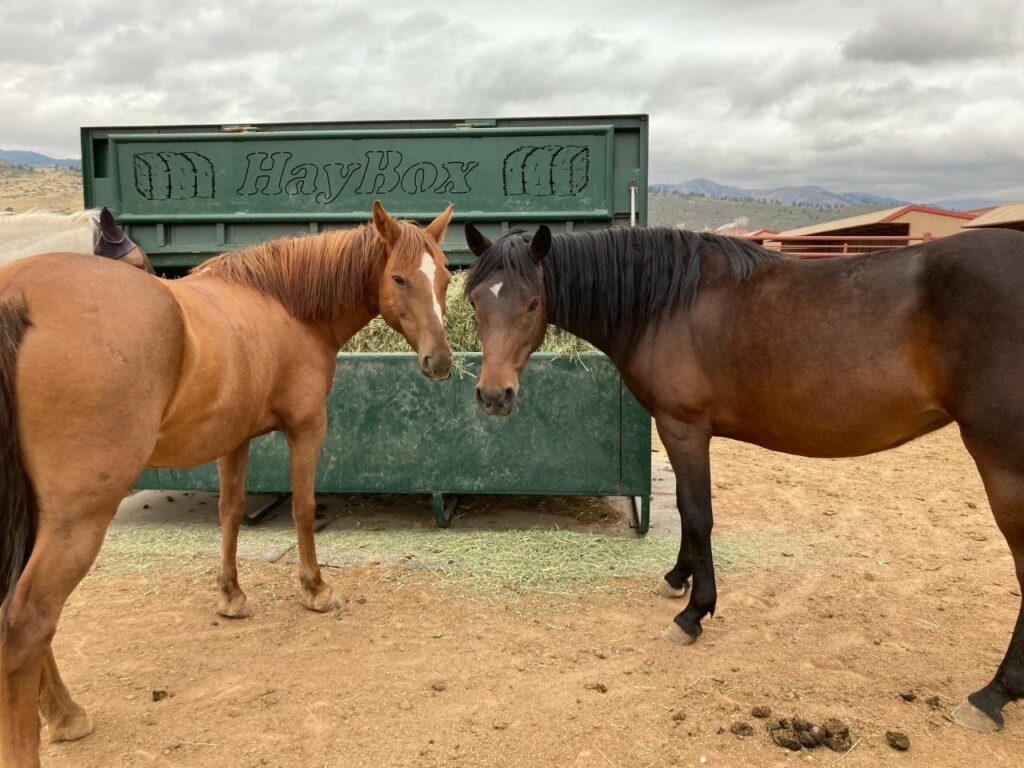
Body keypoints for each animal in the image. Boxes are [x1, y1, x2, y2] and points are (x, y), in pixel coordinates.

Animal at [0, 201, 452, 765]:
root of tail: (19, 298)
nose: (442, 361)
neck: (284, 304)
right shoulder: (307, 427)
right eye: (399, 278)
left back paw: (65, 714)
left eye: (447, 278)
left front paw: (231, 596)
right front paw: (316, 589)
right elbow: (303, 507)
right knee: (27, 621)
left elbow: (231, 511)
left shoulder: (234, 437)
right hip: (76, 518)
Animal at [462, 221, 1024, 733]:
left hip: (1002, 462)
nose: (493, 396)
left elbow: (697, 515)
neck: (667, 303)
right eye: (475, 302)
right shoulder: (682, 432)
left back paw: (992, 695)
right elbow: (688, 515)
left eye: (532, 303)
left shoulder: (684, 427)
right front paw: (678, 579)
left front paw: (694, 614)